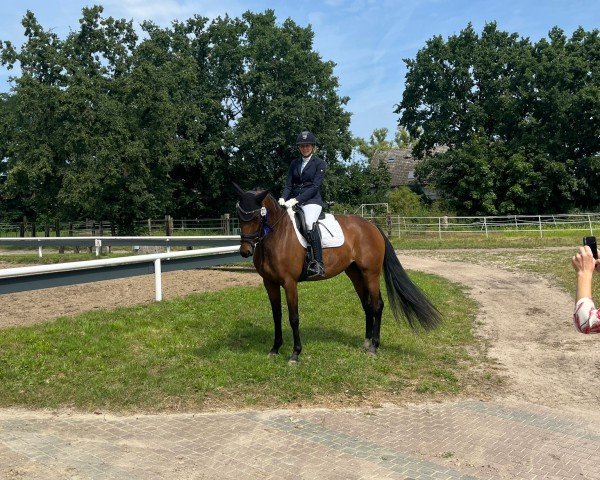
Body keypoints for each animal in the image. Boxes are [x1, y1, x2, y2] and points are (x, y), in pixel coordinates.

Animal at [234, 185, 440, 364]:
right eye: (239, 217)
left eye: (256, 217)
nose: (245, 251)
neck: (277, 237)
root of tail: (372, 226)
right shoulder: (269, 283)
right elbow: (276, 315)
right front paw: (275, 349)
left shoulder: (289, 283)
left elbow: (293, 318)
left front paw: (295, 354)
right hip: (355, 274)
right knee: (367, 305)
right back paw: (366, 342)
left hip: (371, 273)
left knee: (377, 305)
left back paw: (374, 347)